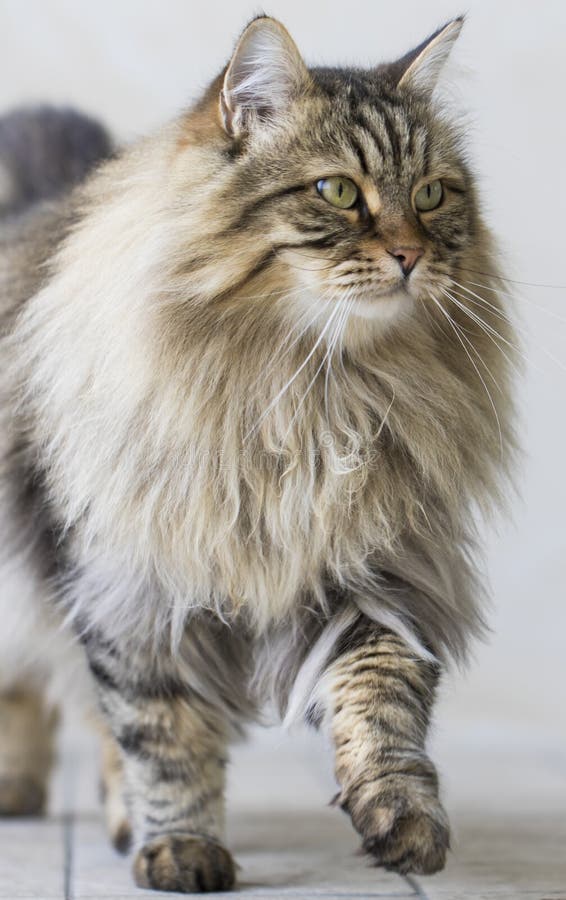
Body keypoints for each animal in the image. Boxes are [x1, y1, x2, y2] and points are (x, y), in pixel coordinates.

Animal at [0, 12, 516, 892]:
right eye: (337, 192)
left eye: (431, 195)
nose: (412, 255)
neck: (310, 398)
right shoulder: (128, 586)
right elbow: (164, 736)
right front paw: (182, 847)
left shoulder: (370, 571)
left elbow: (382, 697)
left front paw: (401, 815)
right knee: (41, 689)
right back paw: (27, 790)